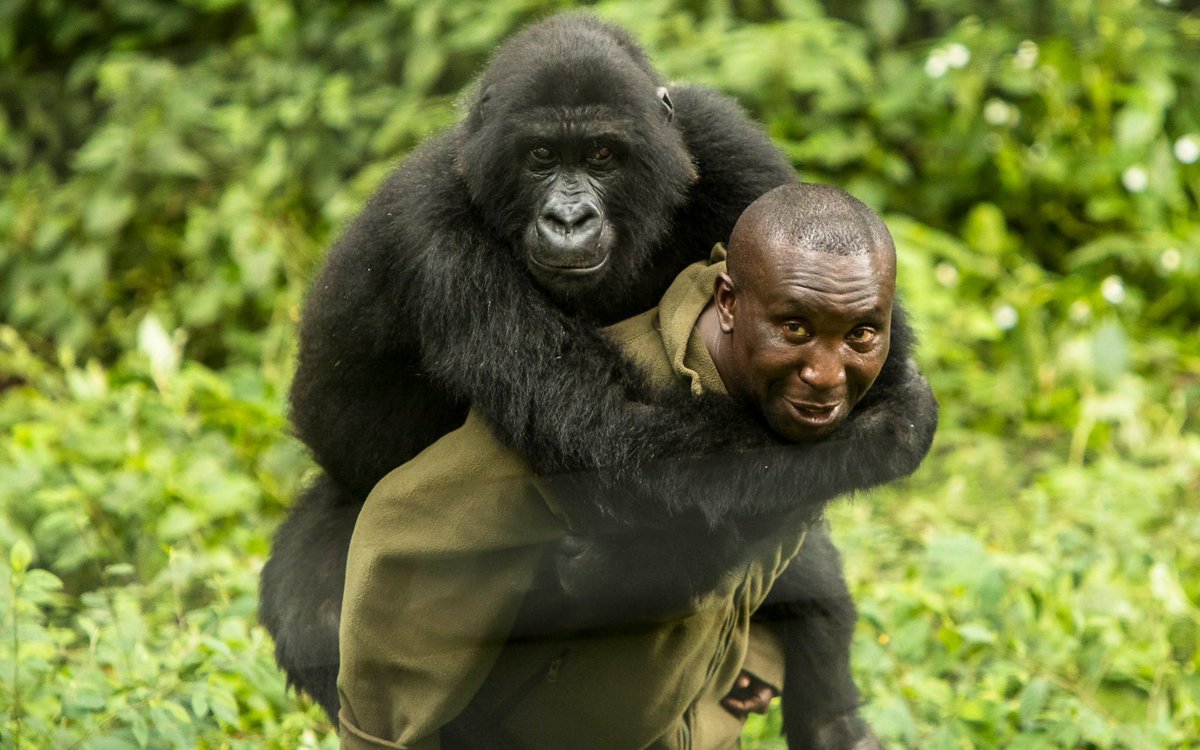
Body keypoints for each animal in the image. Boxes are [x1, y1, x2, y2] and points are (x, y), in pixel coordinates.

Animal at [260, 13, 936, 748]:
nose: (569, 218)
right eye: (540, 157)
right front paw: (886, 432)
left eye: (603, 156)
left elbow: (876, 351)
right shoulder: (433, 229)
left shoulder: (725, 140)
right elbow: (607, 432)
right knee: (328, 619)